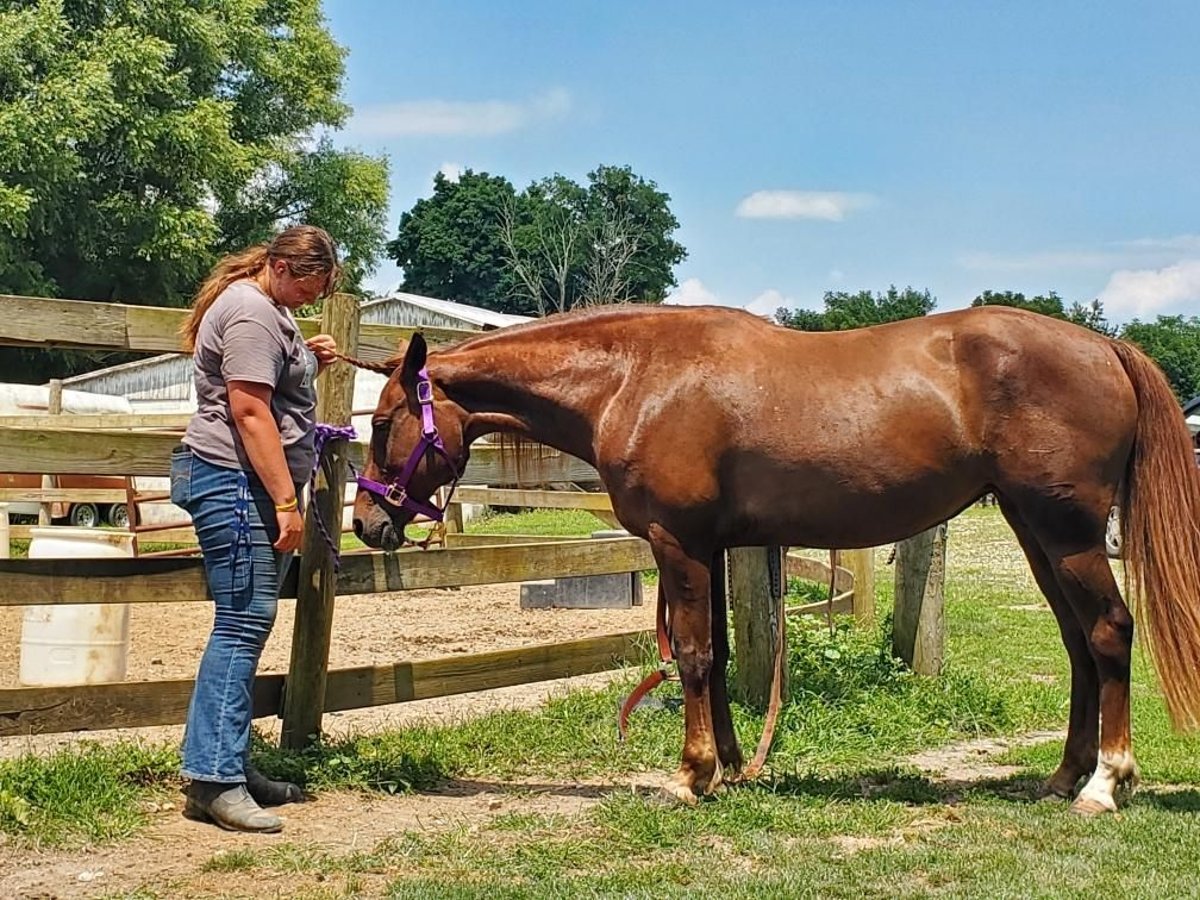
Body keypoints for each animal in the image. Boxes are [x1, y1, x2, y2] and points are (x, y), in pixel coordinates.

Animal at [351, 303, 1200, 815]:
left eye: (386, 421)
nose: (366, 522)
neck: (635, 378)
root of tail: (1107, 347)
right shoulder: (713, 548)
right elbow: (721, 656)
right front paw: (731, 766)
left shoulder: (678, 543)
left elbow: (693, 656)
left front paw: (690, 775)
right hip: (1034, 530)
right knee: (1079, 644)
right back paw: (1062, 777)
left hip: (1069, 533)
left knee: (1110, 632)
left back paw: (1105, 783)